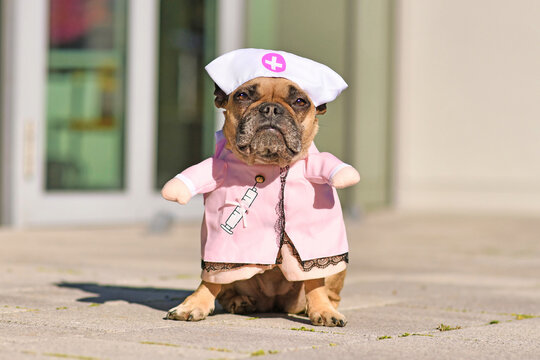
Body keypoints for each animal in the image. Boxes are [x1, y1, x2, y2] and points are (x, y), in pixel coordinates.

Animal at [162, 47, 360, 326]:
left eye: (300, 101)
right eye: (243, 96)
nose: (271, 109)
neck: (269, 164)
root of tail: (274, 303)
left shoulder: (315, 243)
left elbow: (313, 279)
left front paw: (323, 310)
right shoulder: (217, 246)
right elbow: (210, 279)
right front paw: (193, 305)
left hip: (335, 270)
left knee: (327, 286)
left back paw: (320, 306)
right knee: (225, 285)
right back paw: (239, 301)